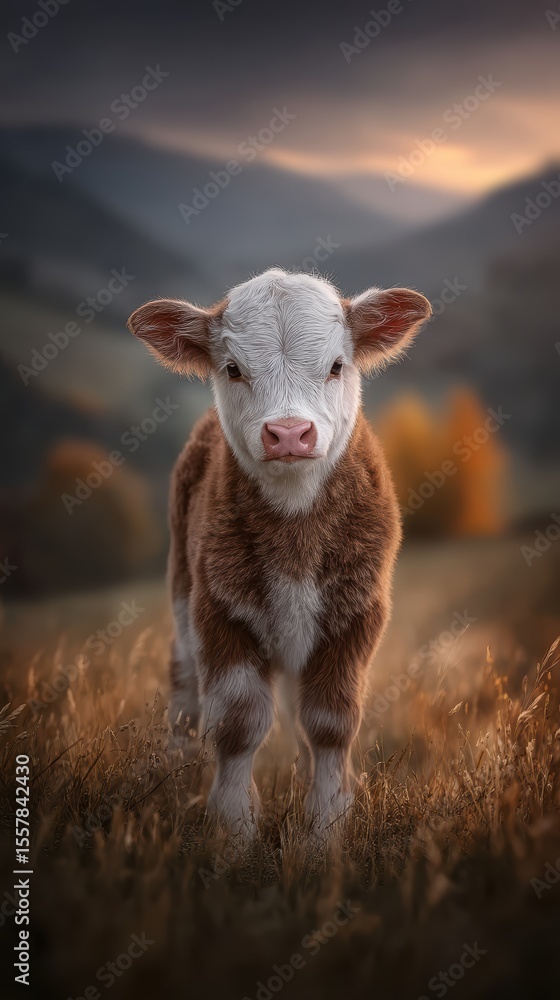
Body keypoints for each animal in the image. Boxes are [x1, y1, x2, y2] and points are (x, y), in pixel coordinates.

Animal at [127, 268, 431, 839]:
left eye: (336, 365)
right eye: (233, 368)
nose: (289, 433)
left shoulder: (357, 613)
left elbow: (330, 722)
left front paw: (327, 824)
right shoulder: (218, 611)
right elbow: (238, 724)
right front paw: (233, 829)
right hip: (182, 591)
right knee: (184, 691)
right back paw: (175, 777)